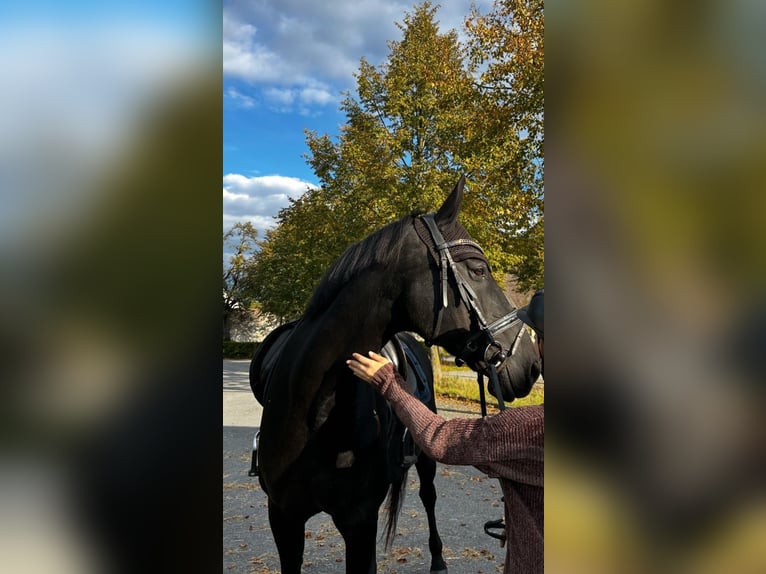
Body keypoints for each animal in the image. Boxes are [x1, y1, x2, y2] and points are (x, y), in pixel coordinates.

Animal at [250, 176, 542, 573]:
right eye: (479, 270)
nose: (530, 363)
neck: (313, 414)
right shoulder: (283, 519)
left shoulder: (359, 524)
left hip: (426, 460)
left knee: (428, 496)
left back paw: (438, 560)